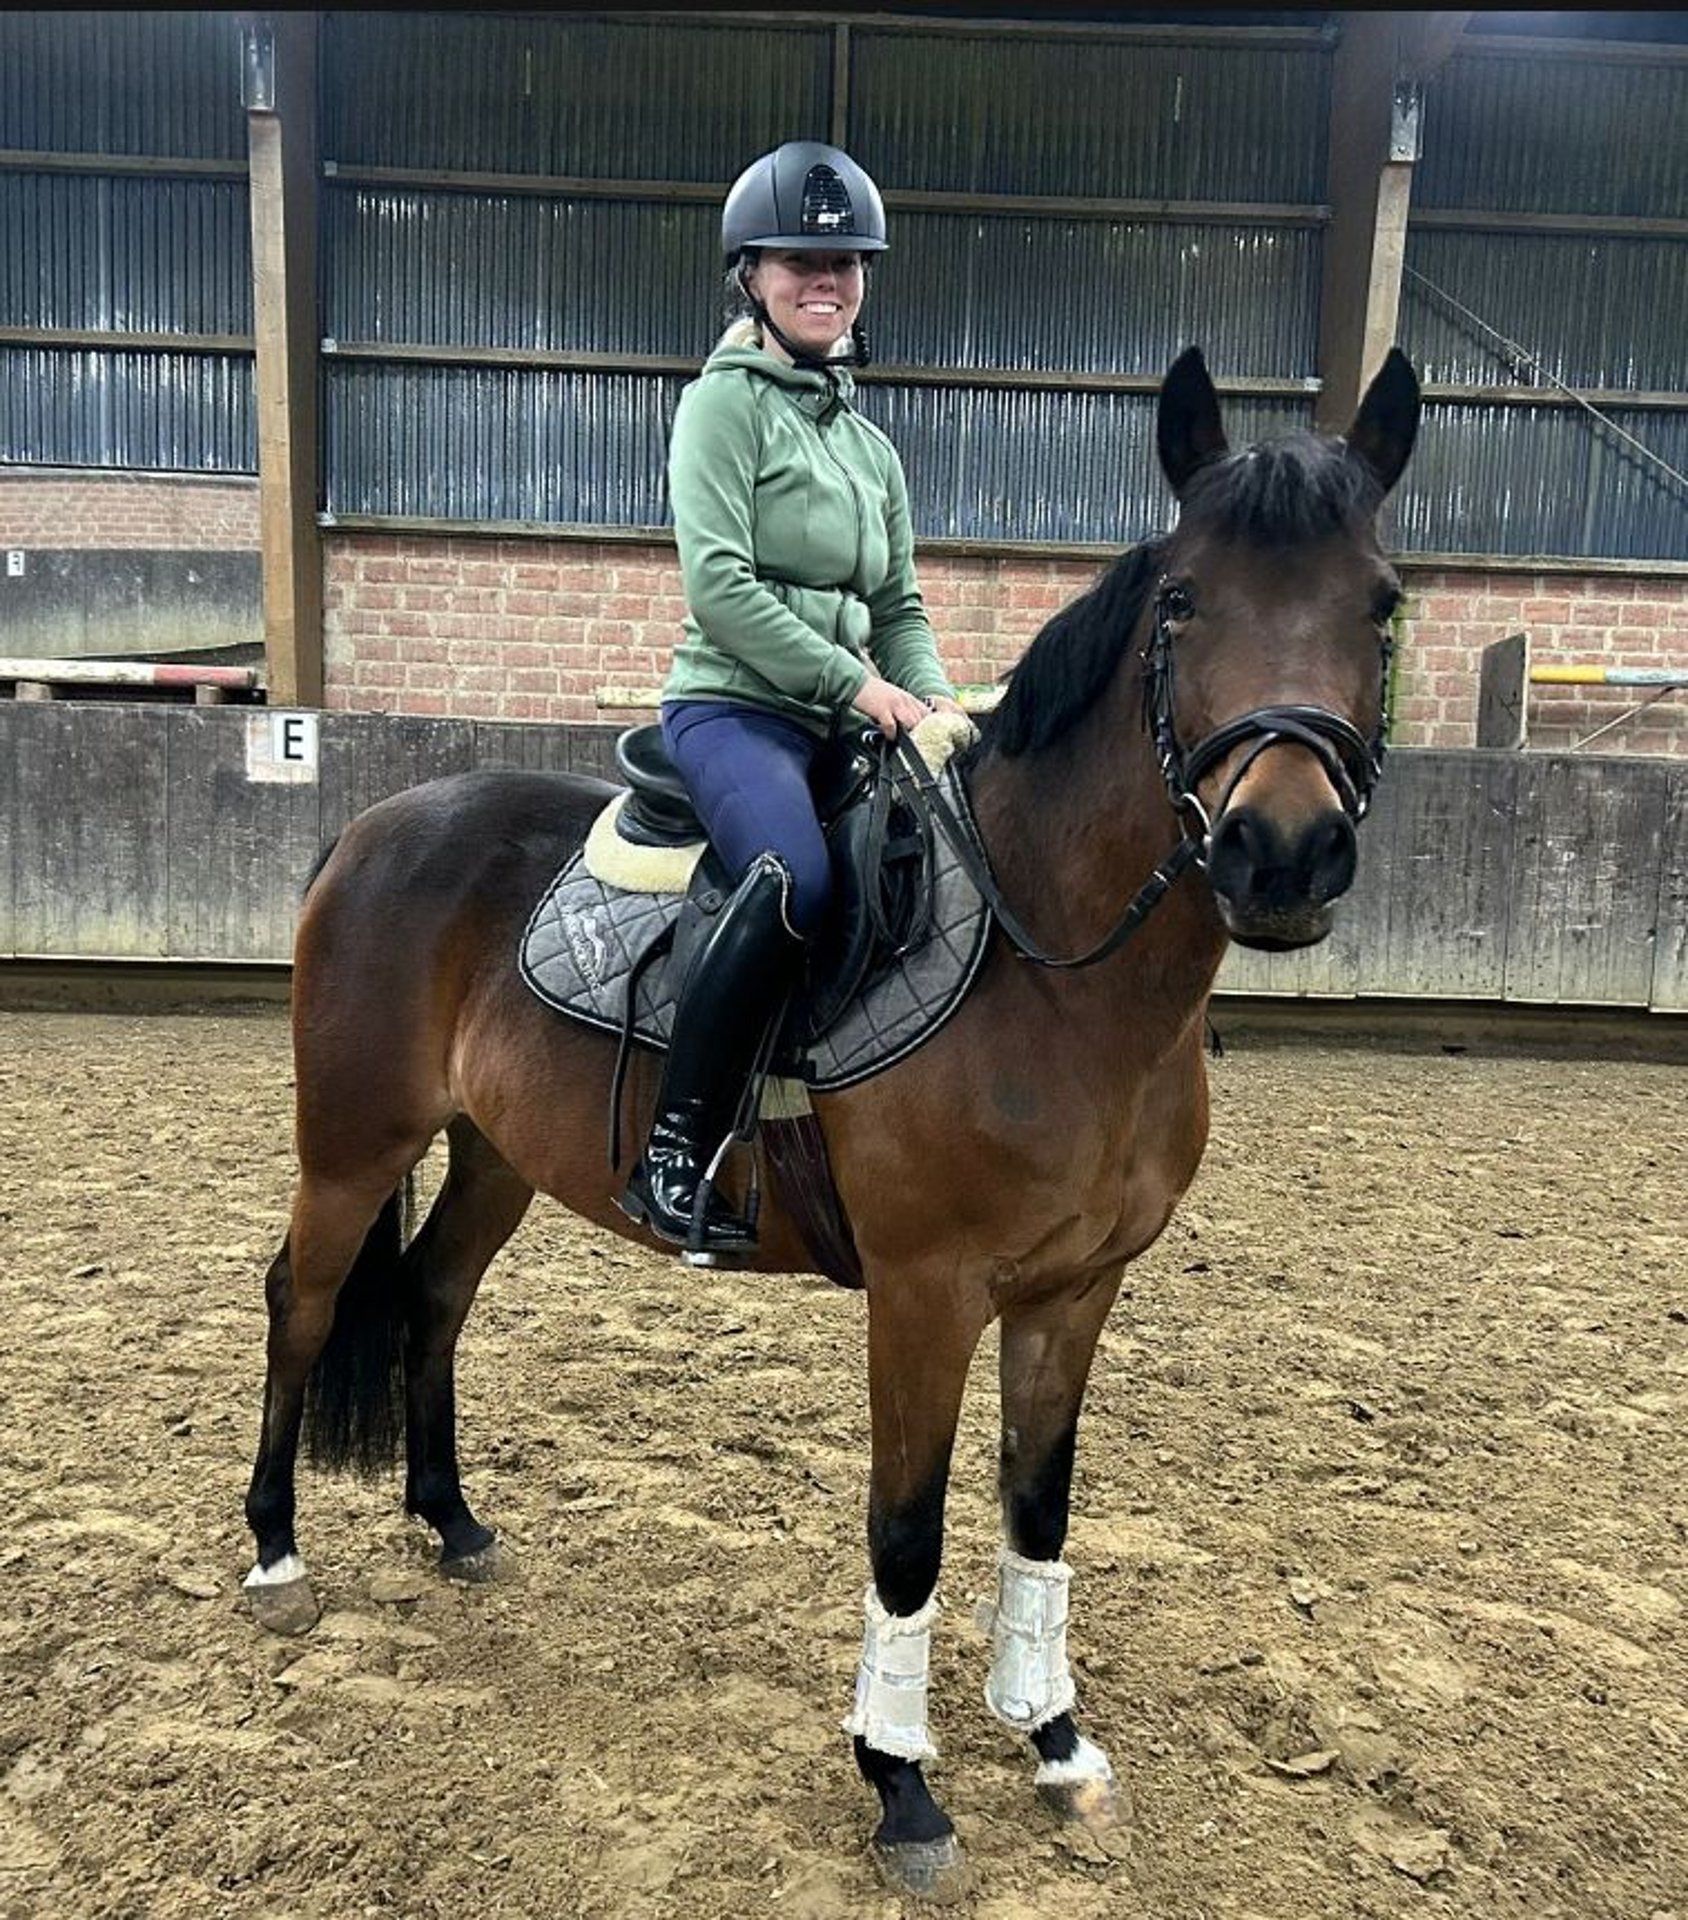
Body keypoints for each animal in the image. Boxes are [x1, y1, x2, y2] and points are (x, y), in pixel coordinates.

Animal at [243, 349, 1421, 1904]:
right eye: (1181, 599)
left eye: (1381, 602)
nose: (1281, 851)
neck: (1050, 968)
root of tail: (378, 825)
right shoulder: (927, 1294)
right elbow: (906, 1532)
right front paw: (902, 1786)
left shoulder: (1076, 1291)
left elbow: (1037, 1508)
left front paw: (1054, 1739)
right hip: (353, 1142)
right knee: (305, 1300)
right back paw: (274, 1558)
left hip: (496, 1153)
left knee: (432, 1295)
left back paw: (451, 1523)